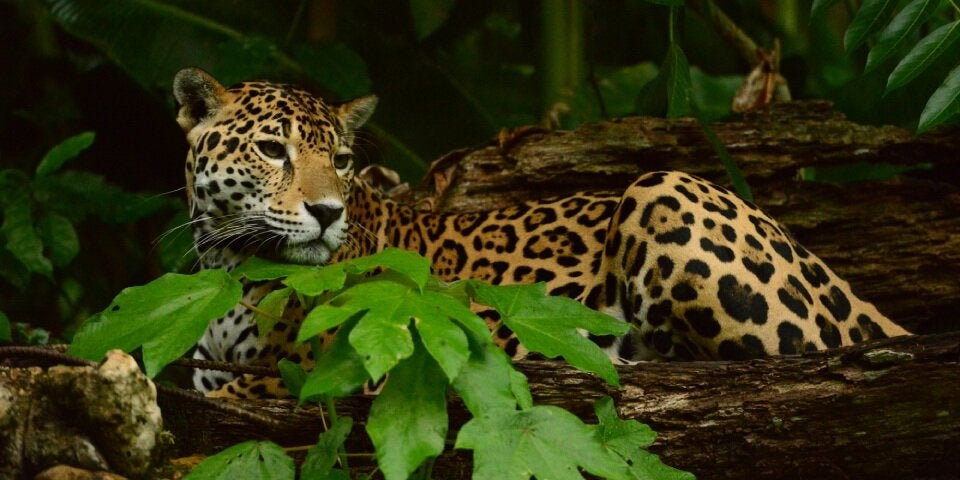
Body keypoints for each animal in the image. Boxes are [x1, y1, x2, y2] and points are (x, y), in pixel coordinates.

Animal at [172, 67, 910, 398]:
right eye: (273, 150)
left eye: (343, 162)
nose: (328, 211)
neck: (229, 266)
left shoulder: (306, 375)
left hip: (661, 188)